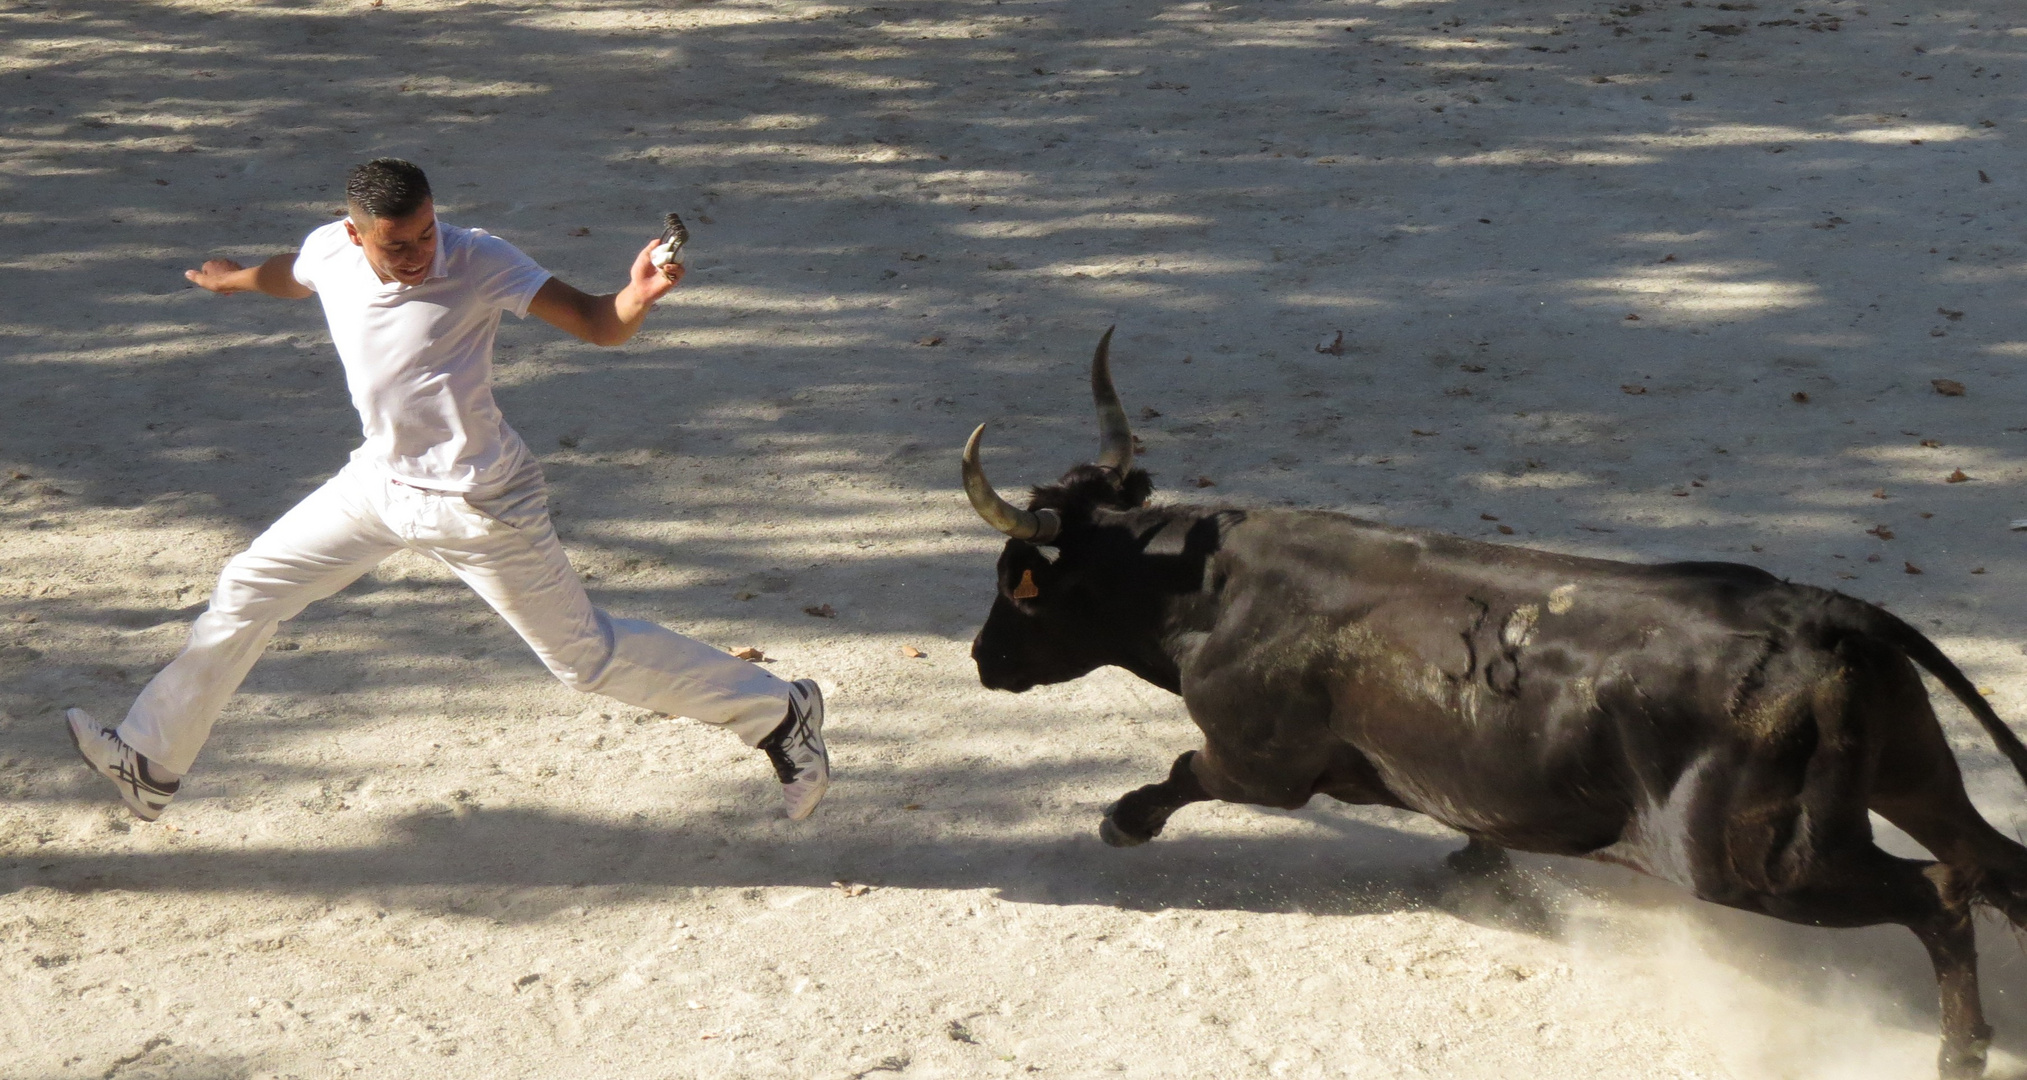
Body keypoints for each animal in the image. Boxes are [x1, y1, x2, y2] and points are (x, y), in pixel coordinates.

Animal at [956, 330, 2027, 1077]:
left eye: (1018, 582)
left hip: (1756, 864)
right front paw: (1478, 867)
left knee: (1940, 893)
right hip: (1909, 772)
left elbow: (1183, 772)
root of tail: (1822, 613)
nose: (979, 660)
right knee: (1991, 860)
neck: (1210, 590)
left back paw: (1960, 1049)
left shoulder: (1258, 762)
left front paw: (1121, 819)